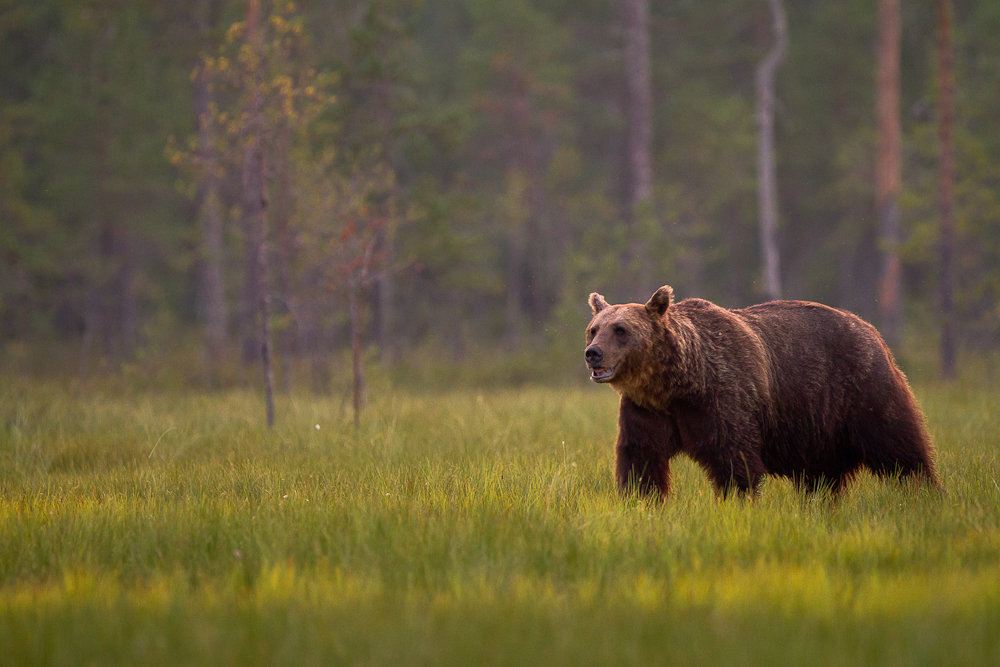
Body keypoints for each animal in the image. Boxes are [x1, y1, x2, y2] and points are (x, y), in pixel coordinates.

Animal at [584, 288, 940, 500]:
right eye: (594, 328)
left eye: (620, 329)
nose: (593, 353)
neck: (676, 384)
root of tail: (870, 329)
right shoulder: (647, 411)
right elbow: (640, 457)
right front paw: (639, 500)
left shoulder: (722, 398)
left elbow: (735, 460)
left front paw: (738, 503)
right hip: (818, 428)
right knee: (820, 477)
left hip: (862, 389)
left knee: (899, 448)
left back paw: (926, 493)